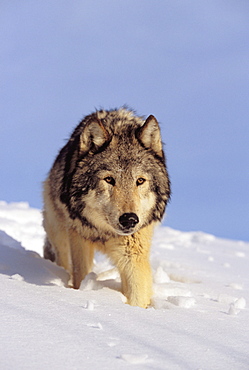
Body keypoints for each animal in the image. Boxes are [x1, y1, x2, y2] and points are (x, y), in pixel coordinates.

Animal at [43, 106, 171, 306]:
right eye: (109, 179)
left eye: (140, 181)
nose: (129, 219)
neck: (104, 233)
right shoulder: (79, 238)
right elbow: (81, 275)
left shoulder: (134, 251)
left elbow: (138, 292)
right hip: (59, 233)